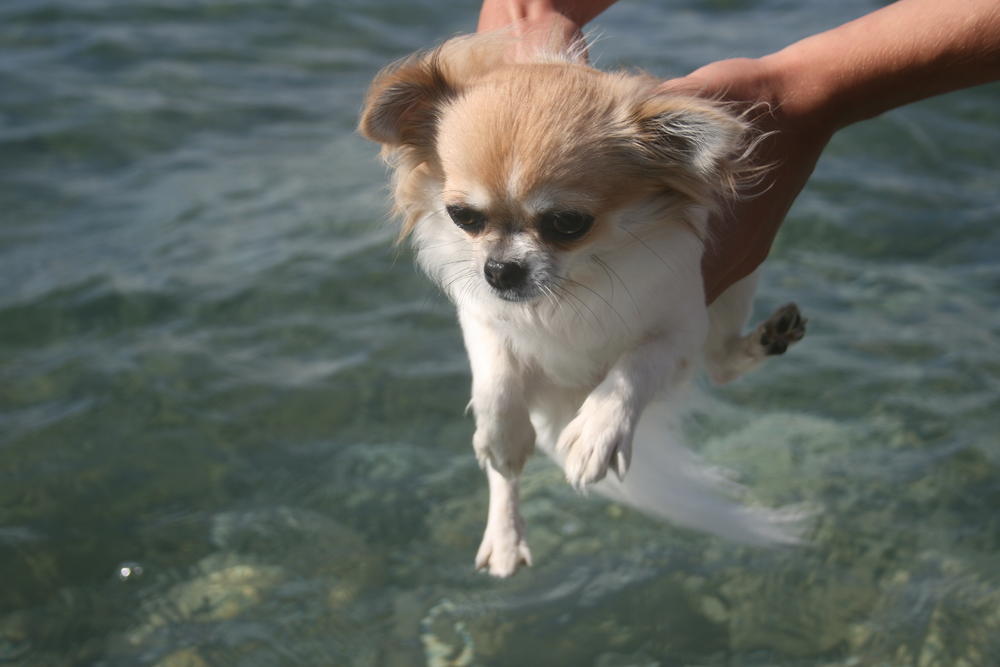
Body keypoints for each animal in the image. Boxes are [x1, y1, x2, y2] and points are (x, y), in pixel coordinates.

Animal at [358, 33, 806, 577]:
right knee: (505, 471)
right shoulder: (482, 314)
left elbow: (634, 367)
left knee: (719, 364)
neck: (574, 282)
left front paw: (597, 430)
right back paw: (504, 534)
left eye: (568, 223)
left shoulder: (680, 329)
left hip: (739, 283)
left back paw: (770, 337)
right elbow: (494, 379)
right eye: (463, 216)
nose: (501, 269)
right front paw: (501, 432)